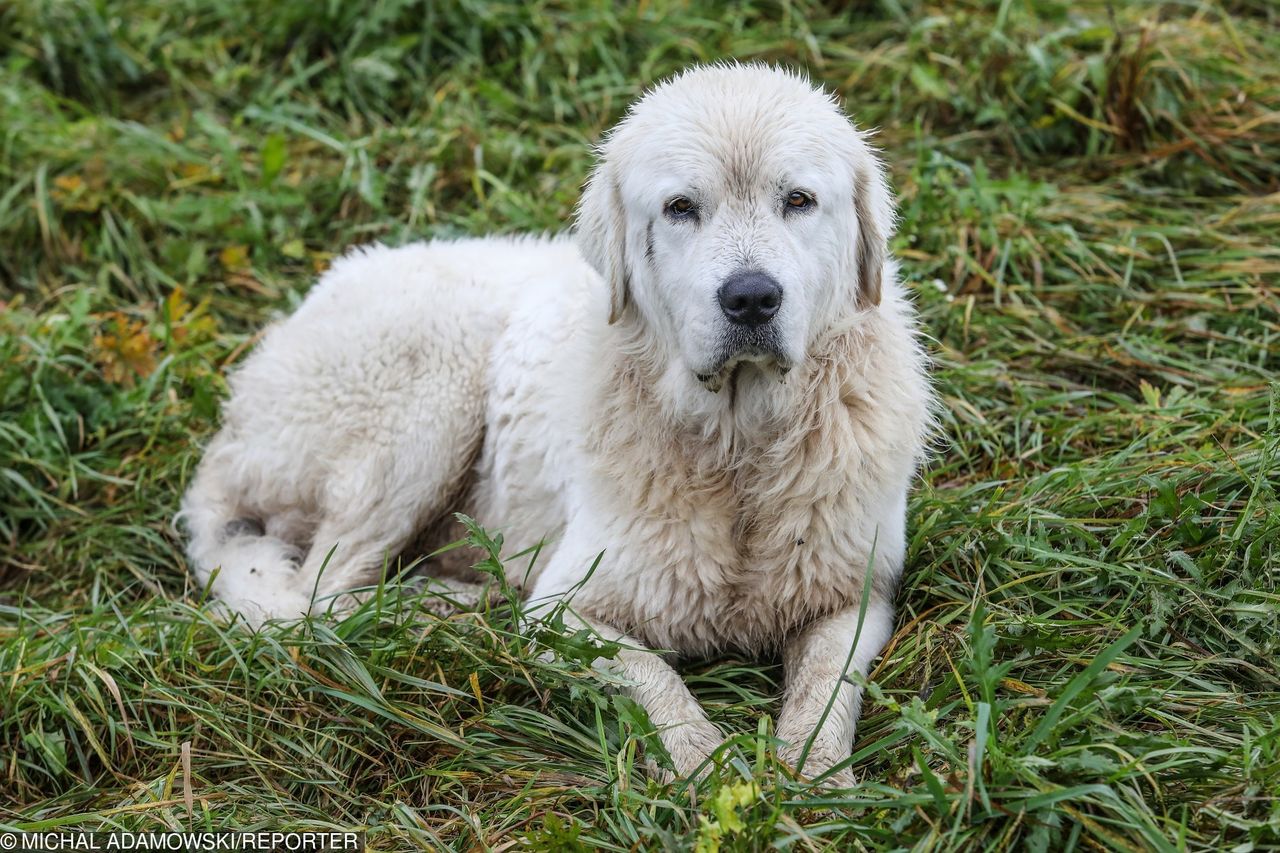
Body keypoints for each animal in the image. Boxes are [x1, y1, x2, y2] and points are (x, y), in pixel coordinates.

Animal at [180, 64, 936, 783]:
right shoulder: (568, 607)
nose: (751, 297)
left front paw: (815, 776)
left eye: (798, 200)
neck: (737, 447)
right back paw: (452, 611)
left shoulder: (857, 594)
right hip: (432, 397)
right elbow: (655, 679)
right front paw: (703, 765)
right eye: (681, 208)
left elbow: (826, 688)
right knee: (323, 600)